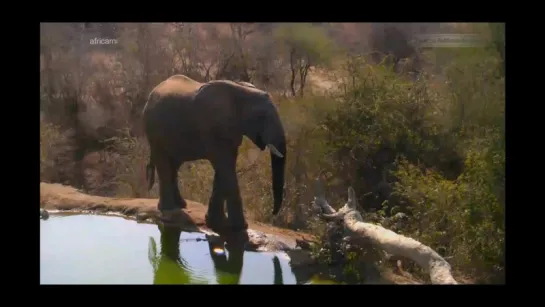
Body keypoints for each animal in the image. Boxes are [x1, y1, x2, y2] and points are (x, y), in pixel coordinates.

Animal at [143, 76, 288, 235]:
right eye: (261, 117)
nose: (273, 213)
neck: (242, 91)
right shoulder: (214, 126)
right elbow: (224, 165)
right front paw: (240, 227)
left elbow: (225, 166)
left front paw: (215, 222)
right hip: (154, 130)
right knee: (164, 162)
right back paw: (168, 208)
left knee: (174, 164)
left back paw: (181, 204)